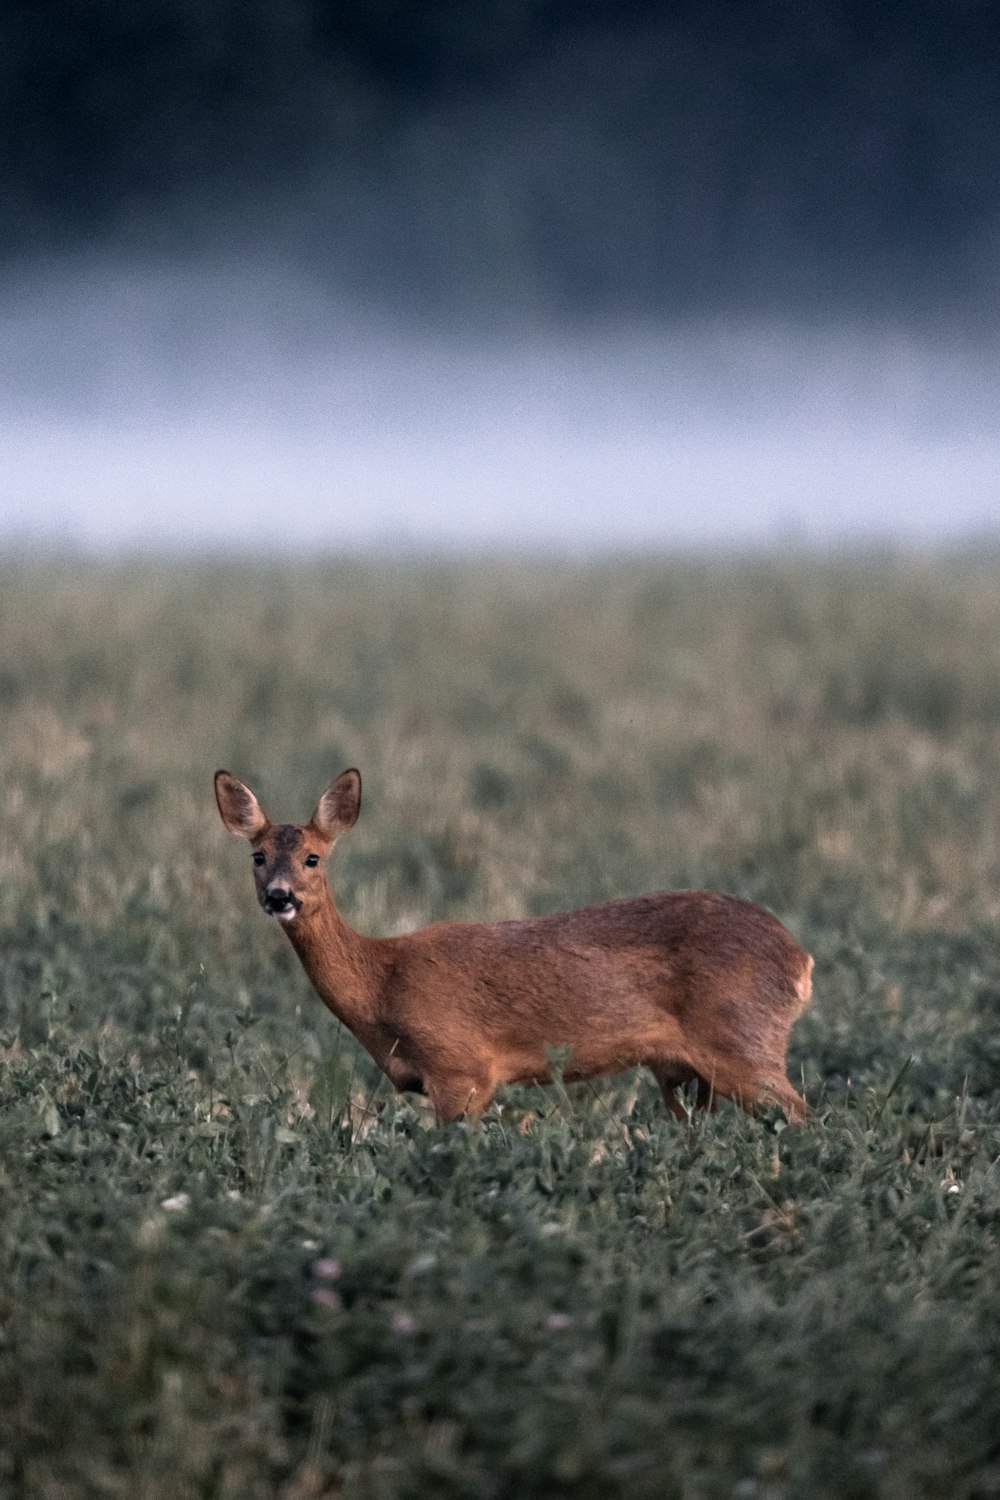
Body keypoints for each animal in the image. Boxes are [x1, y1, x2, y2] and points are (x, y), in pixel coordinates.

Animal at [212, 768, 815, 1122]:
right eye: (257, 856)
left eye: (313, 857)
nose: (280, 896)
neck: (381, 984)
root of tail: (800, 959)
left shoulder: (461, 1068)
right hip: (687, 1072)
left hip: (742, 1040)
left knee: (801, 1113)